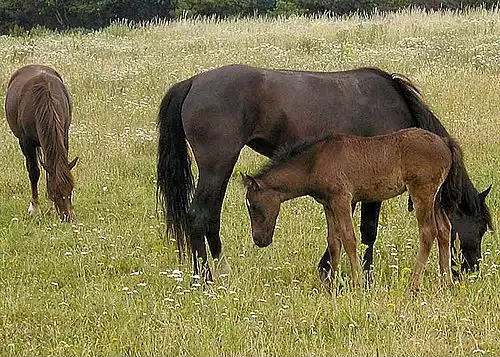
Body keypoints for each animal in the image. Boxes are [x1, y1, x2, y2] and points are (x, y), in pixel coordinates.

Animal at [4, 63, 78, 220]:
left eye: (71, 189)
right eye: (55, 192)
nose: (67, 218)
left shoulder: (64, 135)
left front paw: (52, 208)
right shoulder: (26, 142)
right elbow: (34, 172)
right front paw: (34, 208)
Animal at [244, 127, 470, 290]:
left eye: (254, 206)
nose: (259, 240)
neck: (315, 162)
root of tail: (445, 142)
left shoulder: (342, 200)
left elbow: (349, 239)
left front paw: (357, 283)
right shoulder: (328, 205)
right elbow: (333, 242)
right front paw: (331, 284)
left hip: (422, 192)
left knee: (428, 232)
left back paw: (414, 285)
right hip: (436, 197)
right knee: (444, 229)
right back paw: (446, 283)